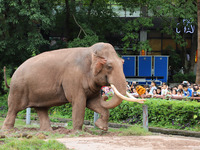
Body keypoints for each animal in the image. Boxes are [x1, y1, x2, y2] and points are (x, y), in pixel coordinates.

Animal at [1, 42, 145, 131]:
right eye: (109, 66)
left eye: (122, 63)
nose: (105, 96)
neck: (90, 52)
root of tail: (13, 75)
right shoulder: (73, 79)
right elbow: (79, 101)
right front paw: (77, 132)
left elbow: (93, 103)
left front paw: (101, 128)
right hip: (18, 89)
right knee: (13, 108)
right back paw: (7, 130)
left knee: (41, 109)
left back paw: (48, 131)